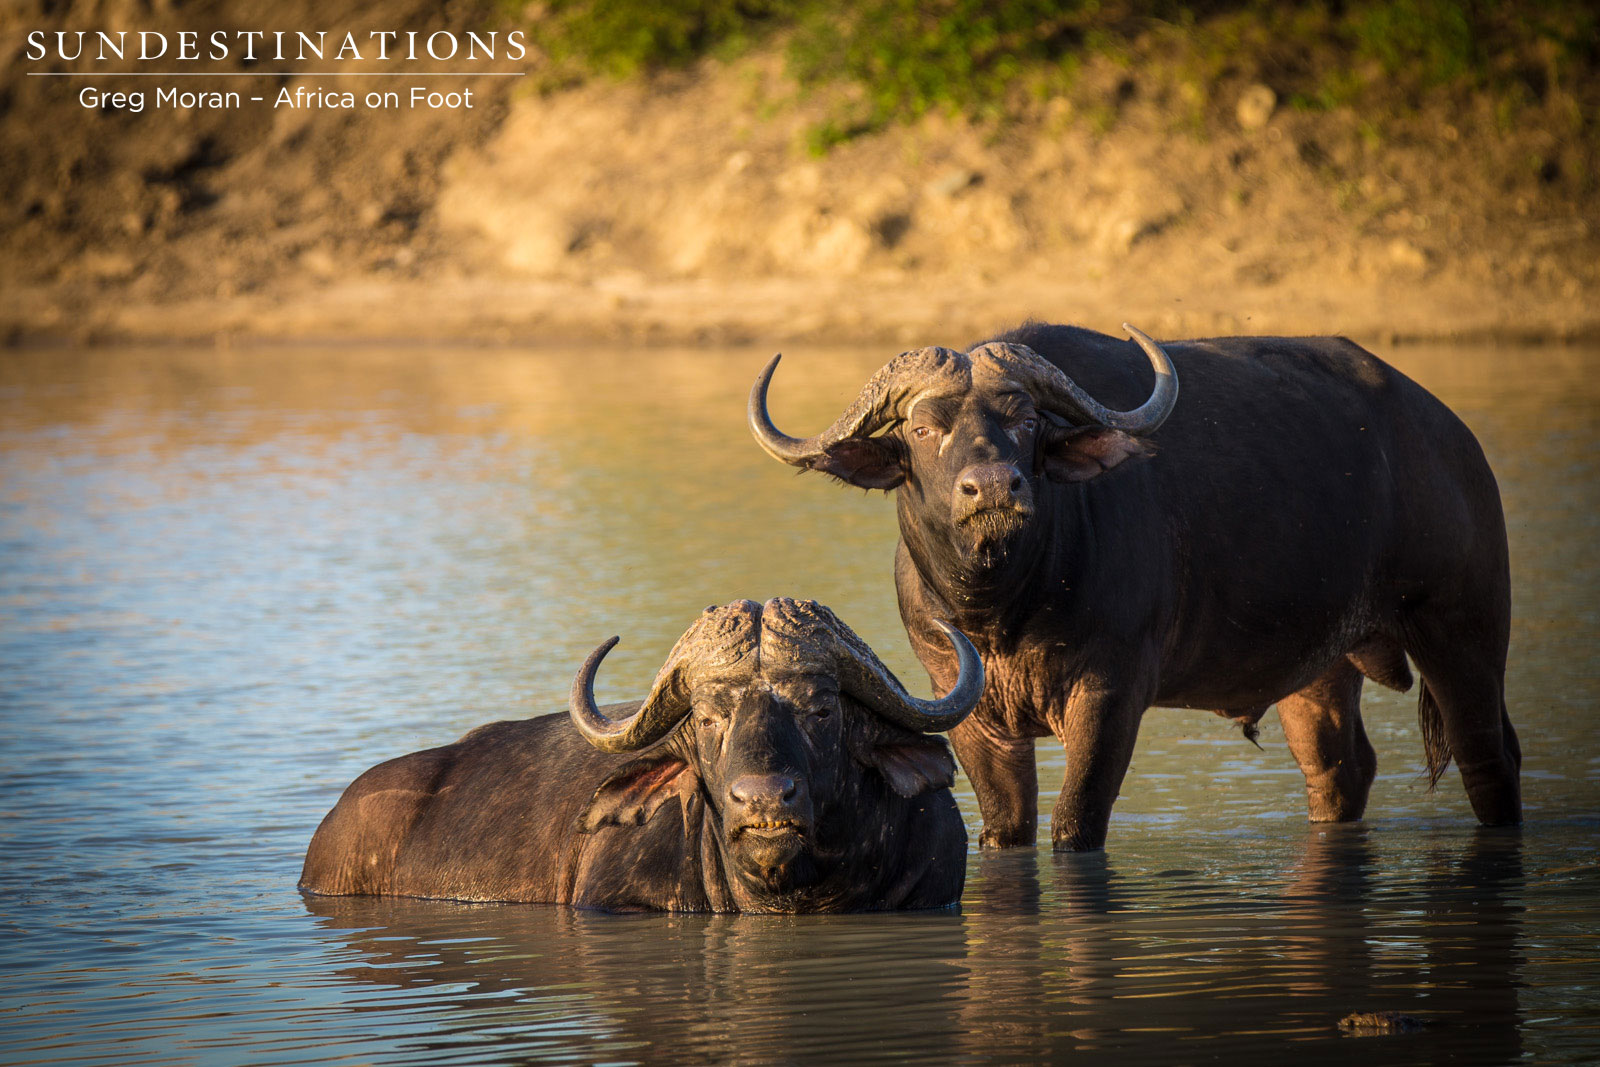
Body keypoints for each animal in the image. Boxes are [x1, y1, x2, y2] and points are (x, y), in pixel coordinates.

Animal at [750, 323, 1522, 851]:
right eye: (920, 427)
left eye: (1025, 419)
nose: (994, 486)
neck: (1007, 607)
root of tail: (1449, 435)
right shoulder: (965, 707)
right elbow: (1006, 825)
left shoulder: (1111, 691)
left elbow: (1075, 822)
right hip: (1320, 669)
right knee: (1340, 769)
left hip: (1463, 628)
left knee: (1489, 754)